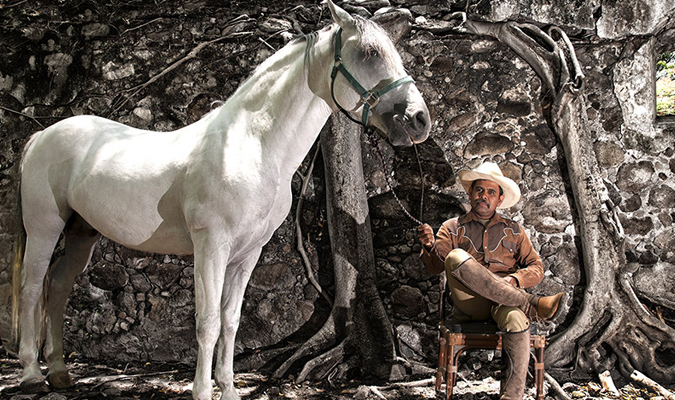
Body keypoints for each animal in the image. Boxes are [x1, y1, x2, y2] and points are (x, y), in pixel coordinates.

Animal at [13, 1, 430, 398]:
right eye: (370, 53)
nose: (419, 119)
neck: (252, 146)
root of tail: (41, 136)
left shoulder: (248, 253)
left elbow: (231, 322)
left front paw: (228, 388)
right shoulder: (211, 247)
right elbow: (208, 323)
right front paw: (201, 391)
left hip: (81, 231)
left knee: (58, 286)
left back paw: (60, 373)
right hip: (44, 227)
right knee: (32, 288)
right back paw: (32, 376)